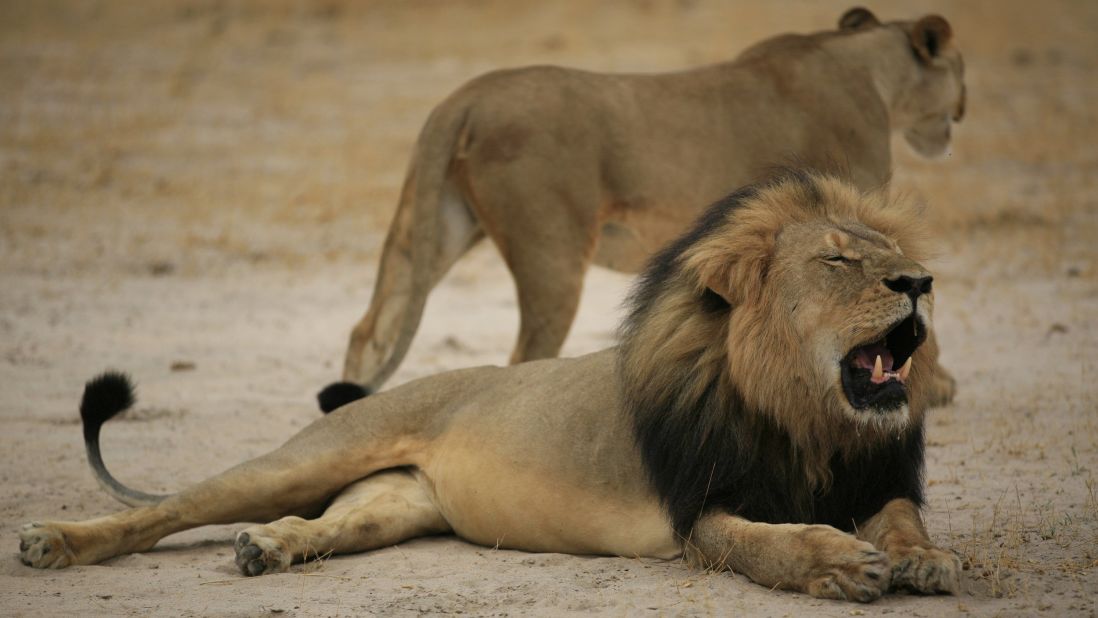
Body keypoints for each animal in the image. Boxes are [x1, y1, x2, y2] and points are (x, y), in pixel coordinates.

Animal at [19, 171, 961, 601]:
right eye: (840, 262)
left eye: (890, 255)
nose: (920, 282)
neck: (809, 419)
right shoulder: (701, 510)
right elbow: (769, 544)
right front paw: (839, 563)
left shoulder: (873, 477)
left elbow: (903, 519)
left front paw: (925, 560)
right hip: (308, 457)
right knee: (166, 511)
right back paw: (54, 543)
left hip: (393, 503)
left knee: (322, 524)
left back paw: (269, 549)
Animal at [338, 6, 966, 401]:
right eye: (960, 68)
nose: (961, 111)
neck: (871, 70)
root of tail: (463, 96)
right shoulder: (851, 208)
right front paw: (933, 386)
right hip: (551, 254)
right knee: (523, 357)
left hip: (434, 227)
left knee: (369, 328)